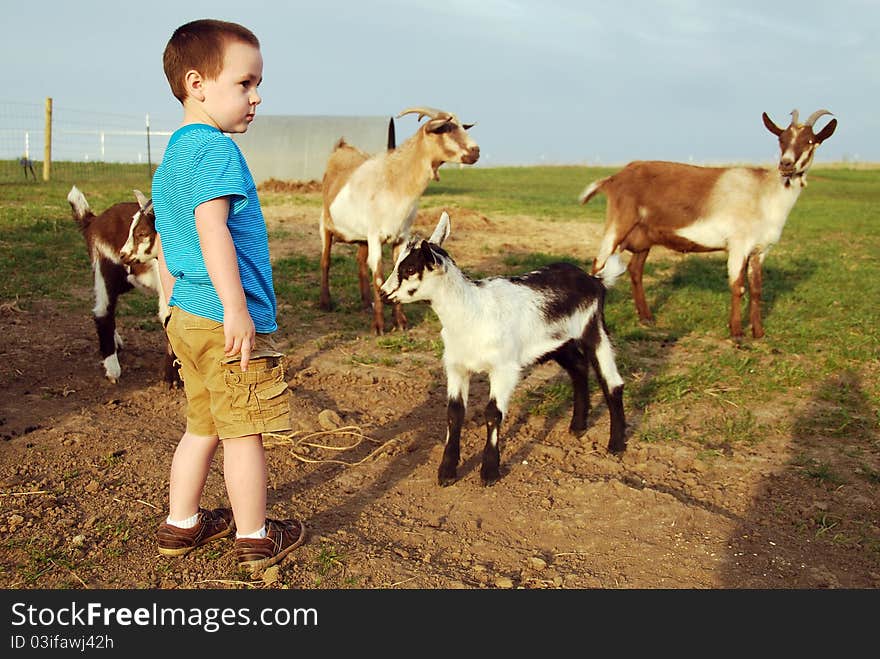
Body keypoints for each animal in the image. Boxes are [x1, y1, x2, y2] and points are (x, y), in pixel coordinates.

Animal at [66, 186, 179, 386]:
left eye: (141, 233)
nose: (123, 254)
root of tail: (94, 220)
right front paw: (172, 379)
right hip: (106, 267)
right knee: (103, 310)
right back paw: (112, 368)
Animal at [318, 109, 478, 338]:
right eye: (444, 128)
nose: (475, 151)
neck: (395, 184)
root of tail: (341, 147)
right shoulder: (375, 236)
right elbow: (377, 275)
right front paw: (378, 327)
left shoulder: (400, 236)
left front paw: (400, 322)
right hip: (325, 224)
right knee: (326, 260)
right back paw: (325, 302)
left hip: (362, 237)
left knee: (359, 262)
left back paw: (366, 303)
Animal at [580, 108, 836, 340]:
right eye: (781, 139)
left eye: (810, 141)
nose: (786, 164)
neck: (763, 193)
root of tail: (614, 179)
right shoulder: (738, 245)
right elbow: (737, 286)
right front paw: (736, 333)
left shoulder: (760, 251)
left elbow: (756, 290)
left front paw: (759, 333)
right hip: (618, 225)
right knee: (598, 266)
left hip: (644, 237)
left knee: (635, 270)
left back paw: (647, 318)